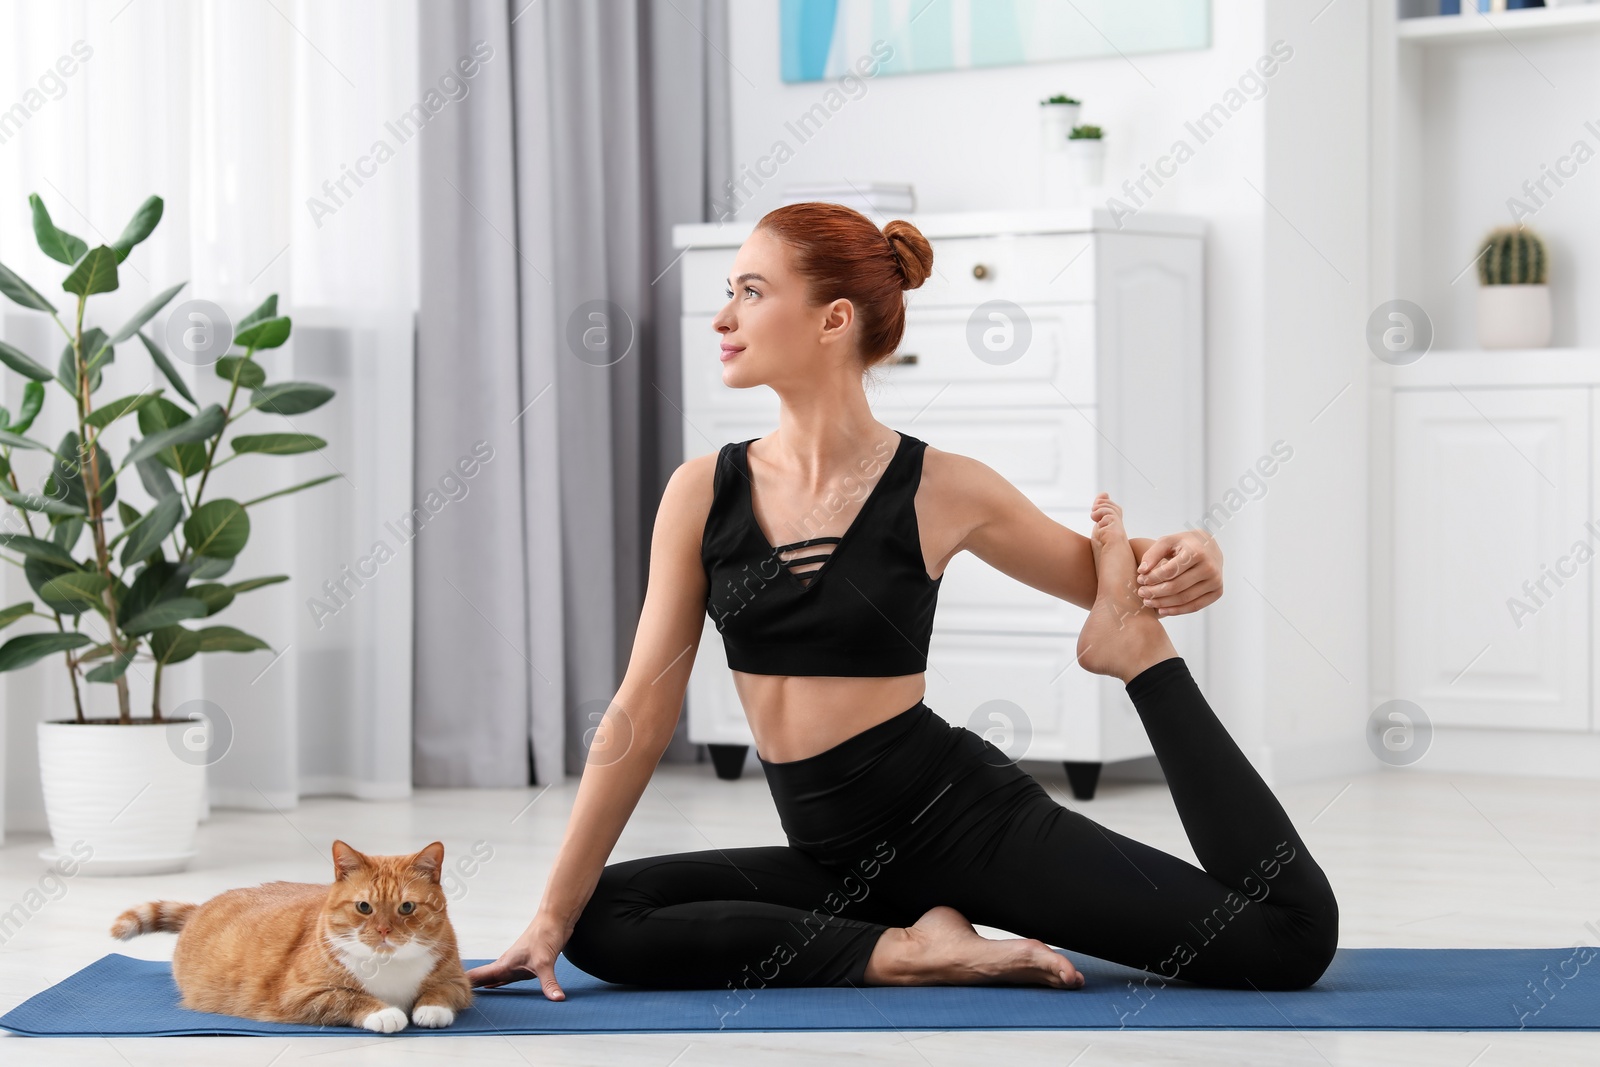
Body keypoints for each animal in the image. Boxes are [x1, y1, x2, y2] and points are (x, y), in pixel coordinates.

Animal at [109, 838, 470, 1030]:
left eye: (407, 907)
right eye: (364, 907)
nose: (383, 930)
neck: (389, 966)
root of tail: (201, 907)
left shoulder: (458, 982)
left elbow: (442, 991)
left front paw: (431, 1009)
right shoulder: (300, 995)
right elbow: (348, 997)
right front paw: (385, 1012)